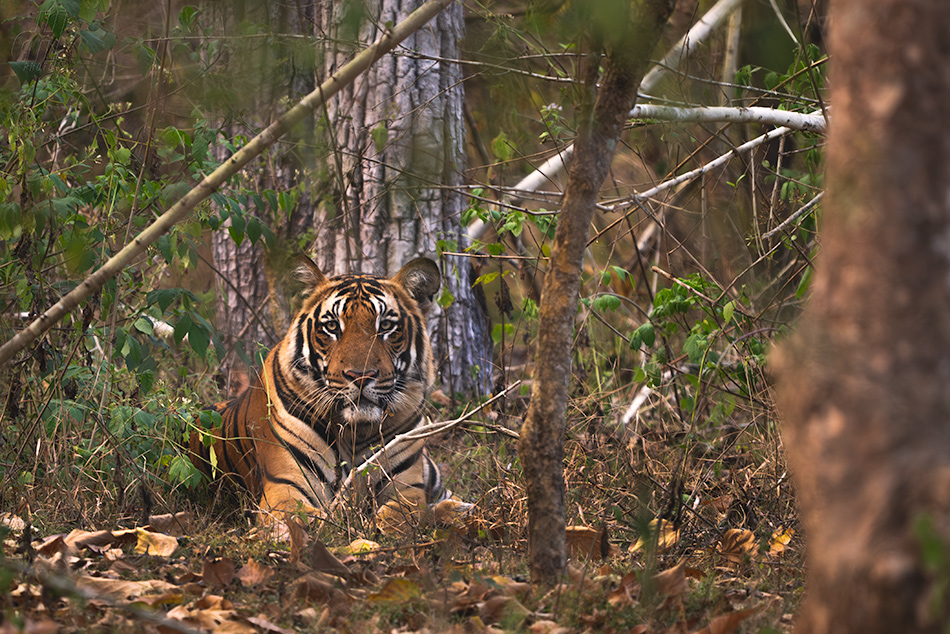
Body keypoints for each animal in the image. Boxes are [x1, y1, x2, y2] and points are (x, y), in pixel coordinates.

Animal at [192, 256, 456, 528]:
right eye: (331, 326)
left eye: (385, 326)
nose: (361, 376)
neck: (355, 432)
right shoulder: (284, 485)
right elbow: (310, 521)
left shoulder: (408, 487)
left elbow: (400, 517)